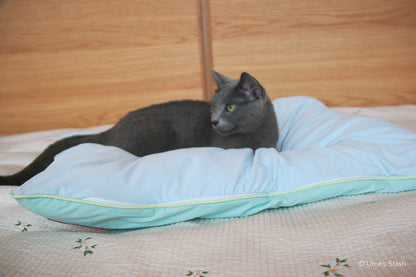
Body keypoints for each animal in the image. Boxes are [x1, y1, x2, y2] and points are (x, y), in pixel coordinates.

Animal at [1, 70, 280, 185]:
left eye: (230, 107)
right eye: (213, 106)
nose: (213, 121)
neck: (255, 134)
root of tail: (111, 129)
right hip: (155, 129)